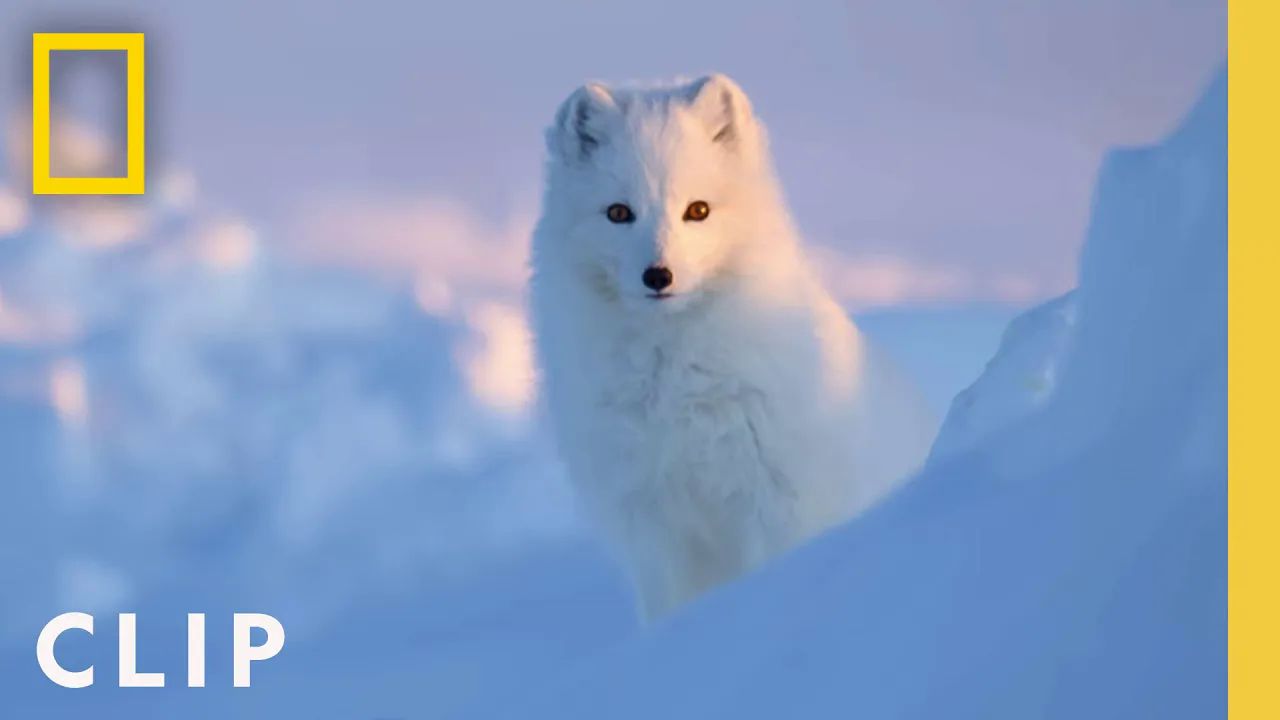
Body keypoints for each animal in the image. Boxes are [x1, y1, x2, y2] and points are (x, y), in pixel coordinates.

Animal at [524, 74, 936, 617]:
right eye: (618, 213)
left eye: (697, 210)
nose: (658, 275)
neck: (674, 382)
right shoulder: (649, 521)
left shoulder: (780, 502)